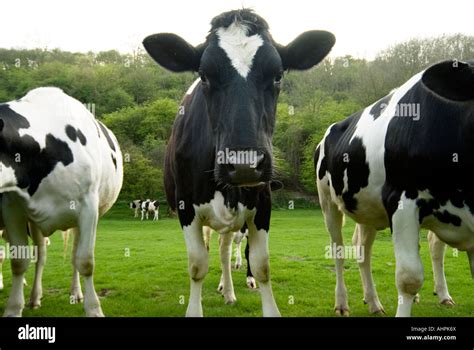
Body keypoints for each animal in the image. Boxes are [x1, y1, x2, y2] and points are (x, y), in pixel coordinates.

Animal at [0, 87, 124, 318]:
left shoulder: (88, 208)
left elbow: (85, 261)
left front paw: (94, 309)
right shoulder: (12, 208)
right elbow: (19, 261)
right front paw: (13, 309)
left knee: (74, 254)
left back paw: (76, 292)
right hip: (35, 222)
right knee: (41, 255)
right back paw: (35, 297)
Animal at [143, 8, 336, 316]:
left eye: (277, 75)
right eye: (204, 76)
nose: (245, 164)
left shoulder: (263, 205)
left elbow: (261, 265)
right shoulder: (186, 208)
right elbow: (197, 265)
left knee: (224, 251)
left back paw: (229, 290)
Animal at [314, 60, 474, 318]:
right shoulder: (402, 201)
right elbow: (409, 278)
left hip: (367, 209)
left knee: (363, 250)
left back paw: (373, 301)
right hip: (328, 203)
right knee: (338, 249)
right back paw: (342, 303)